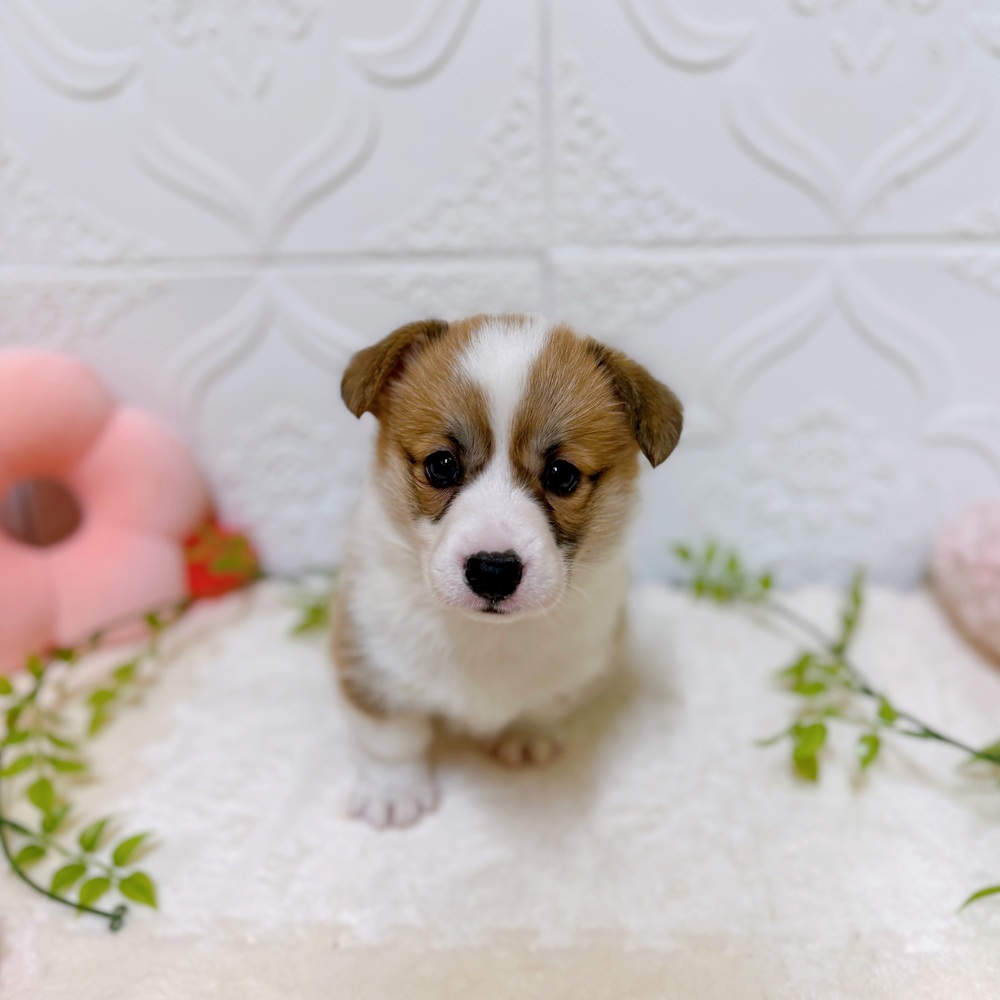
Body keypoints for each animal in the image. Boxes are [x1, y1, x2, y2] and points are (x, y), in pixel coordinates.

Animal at [332, 313, 683, 828]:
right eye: (441, 465)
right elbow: (392, 739)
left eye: (562, 475)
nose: (493, 571)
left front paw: (525, 735)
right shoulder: (371, 662)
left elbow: (541, 704)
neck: (486, 637)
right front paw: (393, 794)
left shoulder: (578, 664)